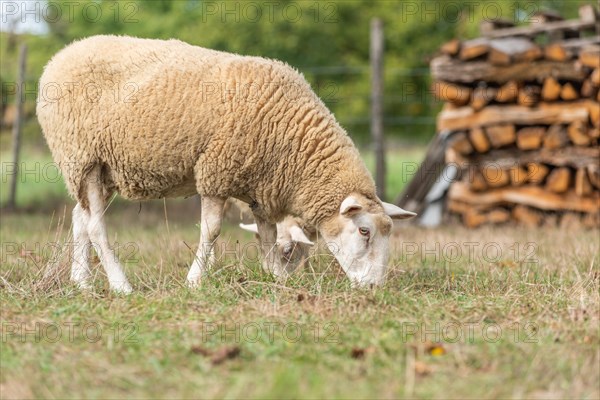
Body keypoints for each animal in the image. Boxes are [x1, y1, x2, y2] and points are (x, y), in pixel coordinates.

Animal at [35, 36, 414, 292]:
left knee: (80, 218)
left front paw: (275, 277)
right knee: (96, 226)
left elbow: (266, 235)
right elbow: (212, 230)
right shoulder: (217, 173)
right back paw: (120, 285)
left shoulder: (262, 187)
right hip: (81, 156)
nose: (374, 287)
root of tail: (59, 56)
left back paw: (82, 282)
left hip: (102, 169)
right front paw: (195, 280)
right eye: (364, 231)